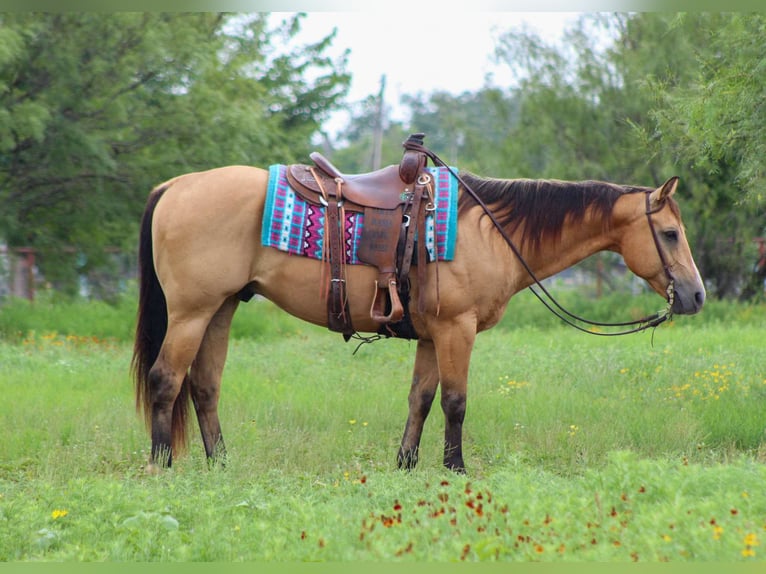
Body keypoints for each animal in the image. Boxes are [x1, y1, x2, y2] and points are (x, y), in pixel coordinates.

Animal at [132, 163, 705, 473]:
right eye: (671, 233)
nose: (696, 295)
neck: (487, 230)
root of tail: (175, 186)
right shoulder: (457, 329)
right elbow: (455, 402)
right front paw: (456, 469)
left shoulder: (432, 336)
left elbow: (421, 400)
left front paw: (406, 466)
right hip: (192, 312)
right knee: (166, 380)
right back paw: (162, 464)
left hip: (221, 308)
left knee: (204, 386)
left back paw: (221, 464)